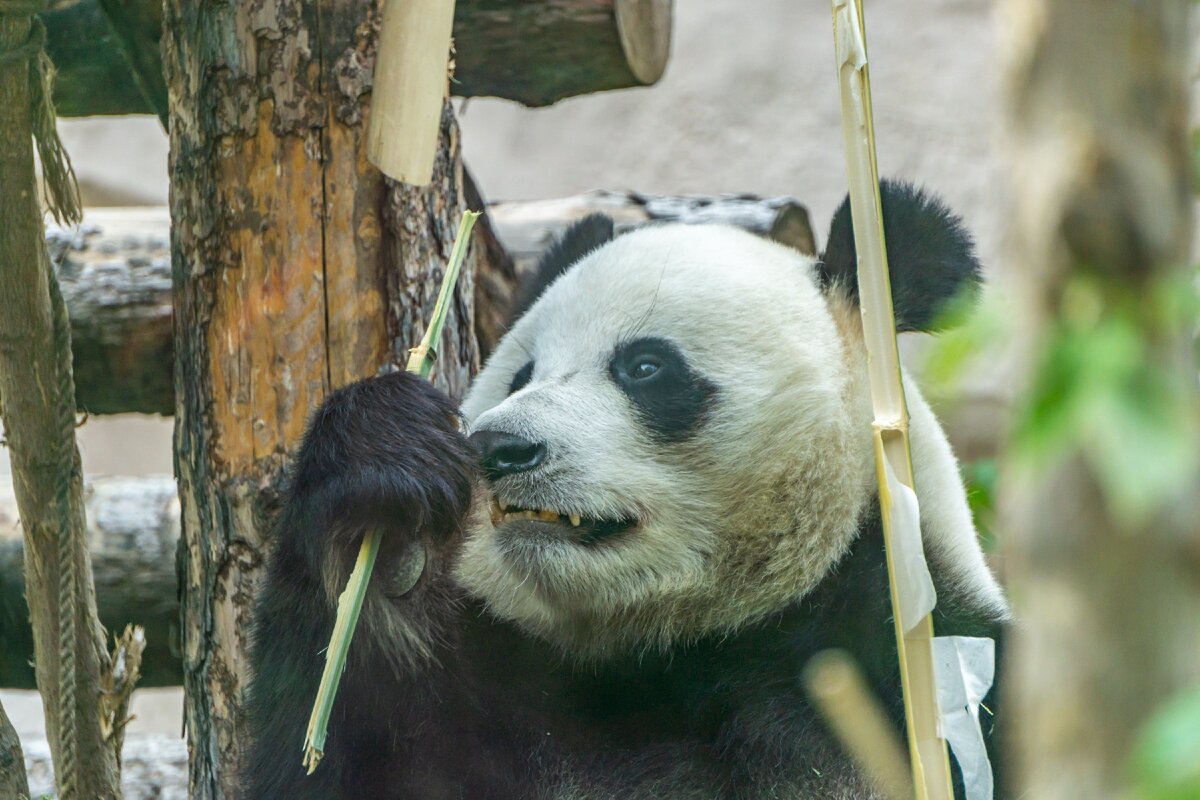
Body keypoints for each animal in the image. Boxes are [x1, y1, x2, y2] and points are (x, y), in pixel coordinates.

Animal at [246, 181, 1012, 800]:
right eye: (521, 375)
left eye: (644, 366)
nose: (499, 449)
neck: (670, 650)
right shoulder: (488, 698)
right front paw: (384, 492)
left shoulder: (921, 668)